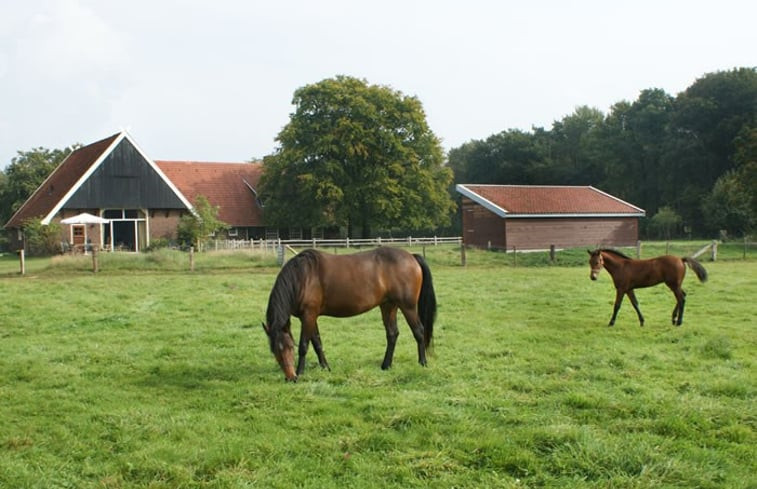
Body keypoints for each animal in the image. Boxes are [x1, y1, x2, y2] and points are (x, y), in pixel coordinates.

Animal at [262, 248, 434, 382]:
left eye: (290, 347)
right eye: (274, 351)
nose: (290, 377)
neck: (303, 277)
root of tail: (411, 256)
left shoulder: (308, 315)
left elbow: (304, 345)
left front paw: (301, 372)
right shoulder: (312, 316)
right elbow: (317, 342)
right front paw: (325, 367)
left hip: (408, 306)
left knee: (419, 331)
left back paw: (422, 363)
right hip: (388, 305)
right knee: (392, 334)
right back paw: (386, 365)